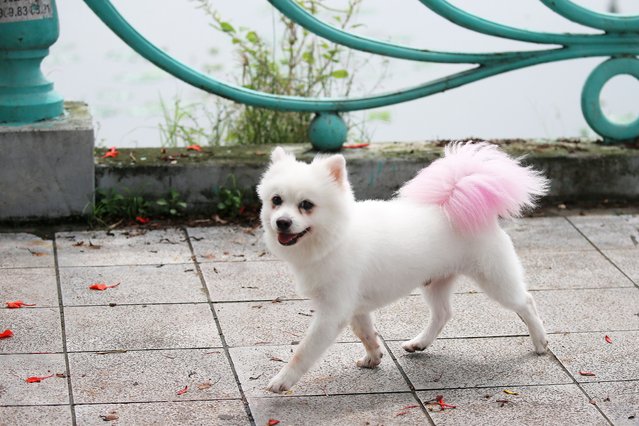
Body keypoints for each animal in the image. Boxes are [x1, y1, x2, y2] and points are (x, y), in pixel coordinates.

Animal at [258, 142, 548, 392]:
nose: (282, 222)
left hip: (494, 278)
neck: (335, 237)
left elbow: (304, 351)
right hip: (436, 282)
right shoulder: (354, 307)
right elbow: (365, 332)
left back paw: (540, 342)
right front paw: (373, 357)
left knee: (526, 301)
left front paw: (282, 380)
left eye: (306, 205)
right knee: (443, 313)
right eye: (276, 200)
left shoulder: (332, 313)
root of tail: (457, 202)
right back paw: (419, 343)